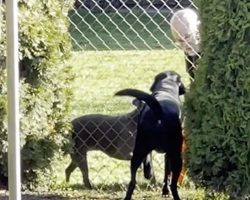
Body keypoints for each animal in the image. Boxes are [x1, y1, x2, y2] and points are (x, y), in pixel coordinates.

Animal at [115, 70, 186, 200]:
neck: (166, 88)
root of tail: (159, 112)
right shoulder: (169, 153)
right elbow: (167, 173)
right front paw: (165, 190)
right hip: (177, 157)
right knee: (174, 185)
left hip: (138, 151)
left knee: (132, 182)